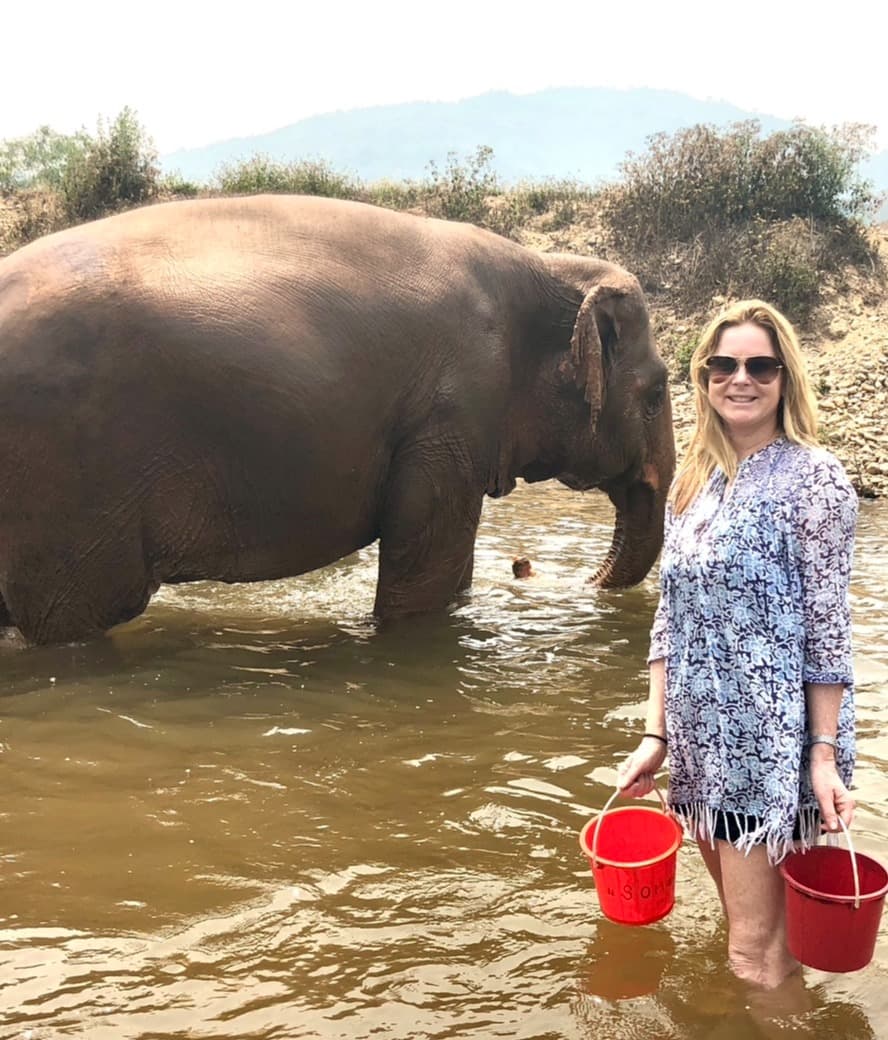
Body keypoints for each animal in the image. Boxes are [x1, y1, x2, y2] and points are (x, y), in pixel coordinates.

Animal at [0, 194, 674, 645]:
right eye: (658, 392)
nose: (526, 567)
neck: (544, 266)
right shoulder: (452, 413)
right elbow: (424, 572)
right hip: (70, 484)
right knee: (74, 616)